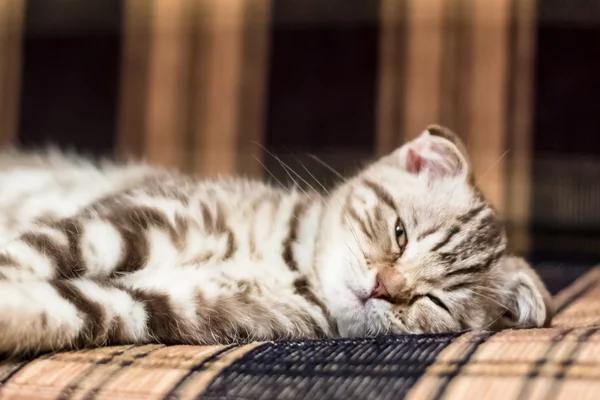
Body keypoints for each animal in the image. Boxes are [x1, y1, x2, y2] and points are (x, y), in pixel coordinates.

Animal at [0, 125, 552, 354]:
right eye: (400, 233)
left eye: (435, 301)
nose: (383, 285)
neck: (286, 263)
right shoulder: (127, 221)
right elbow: (25, 253)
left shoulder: (166, 305)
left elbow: (69, 310)